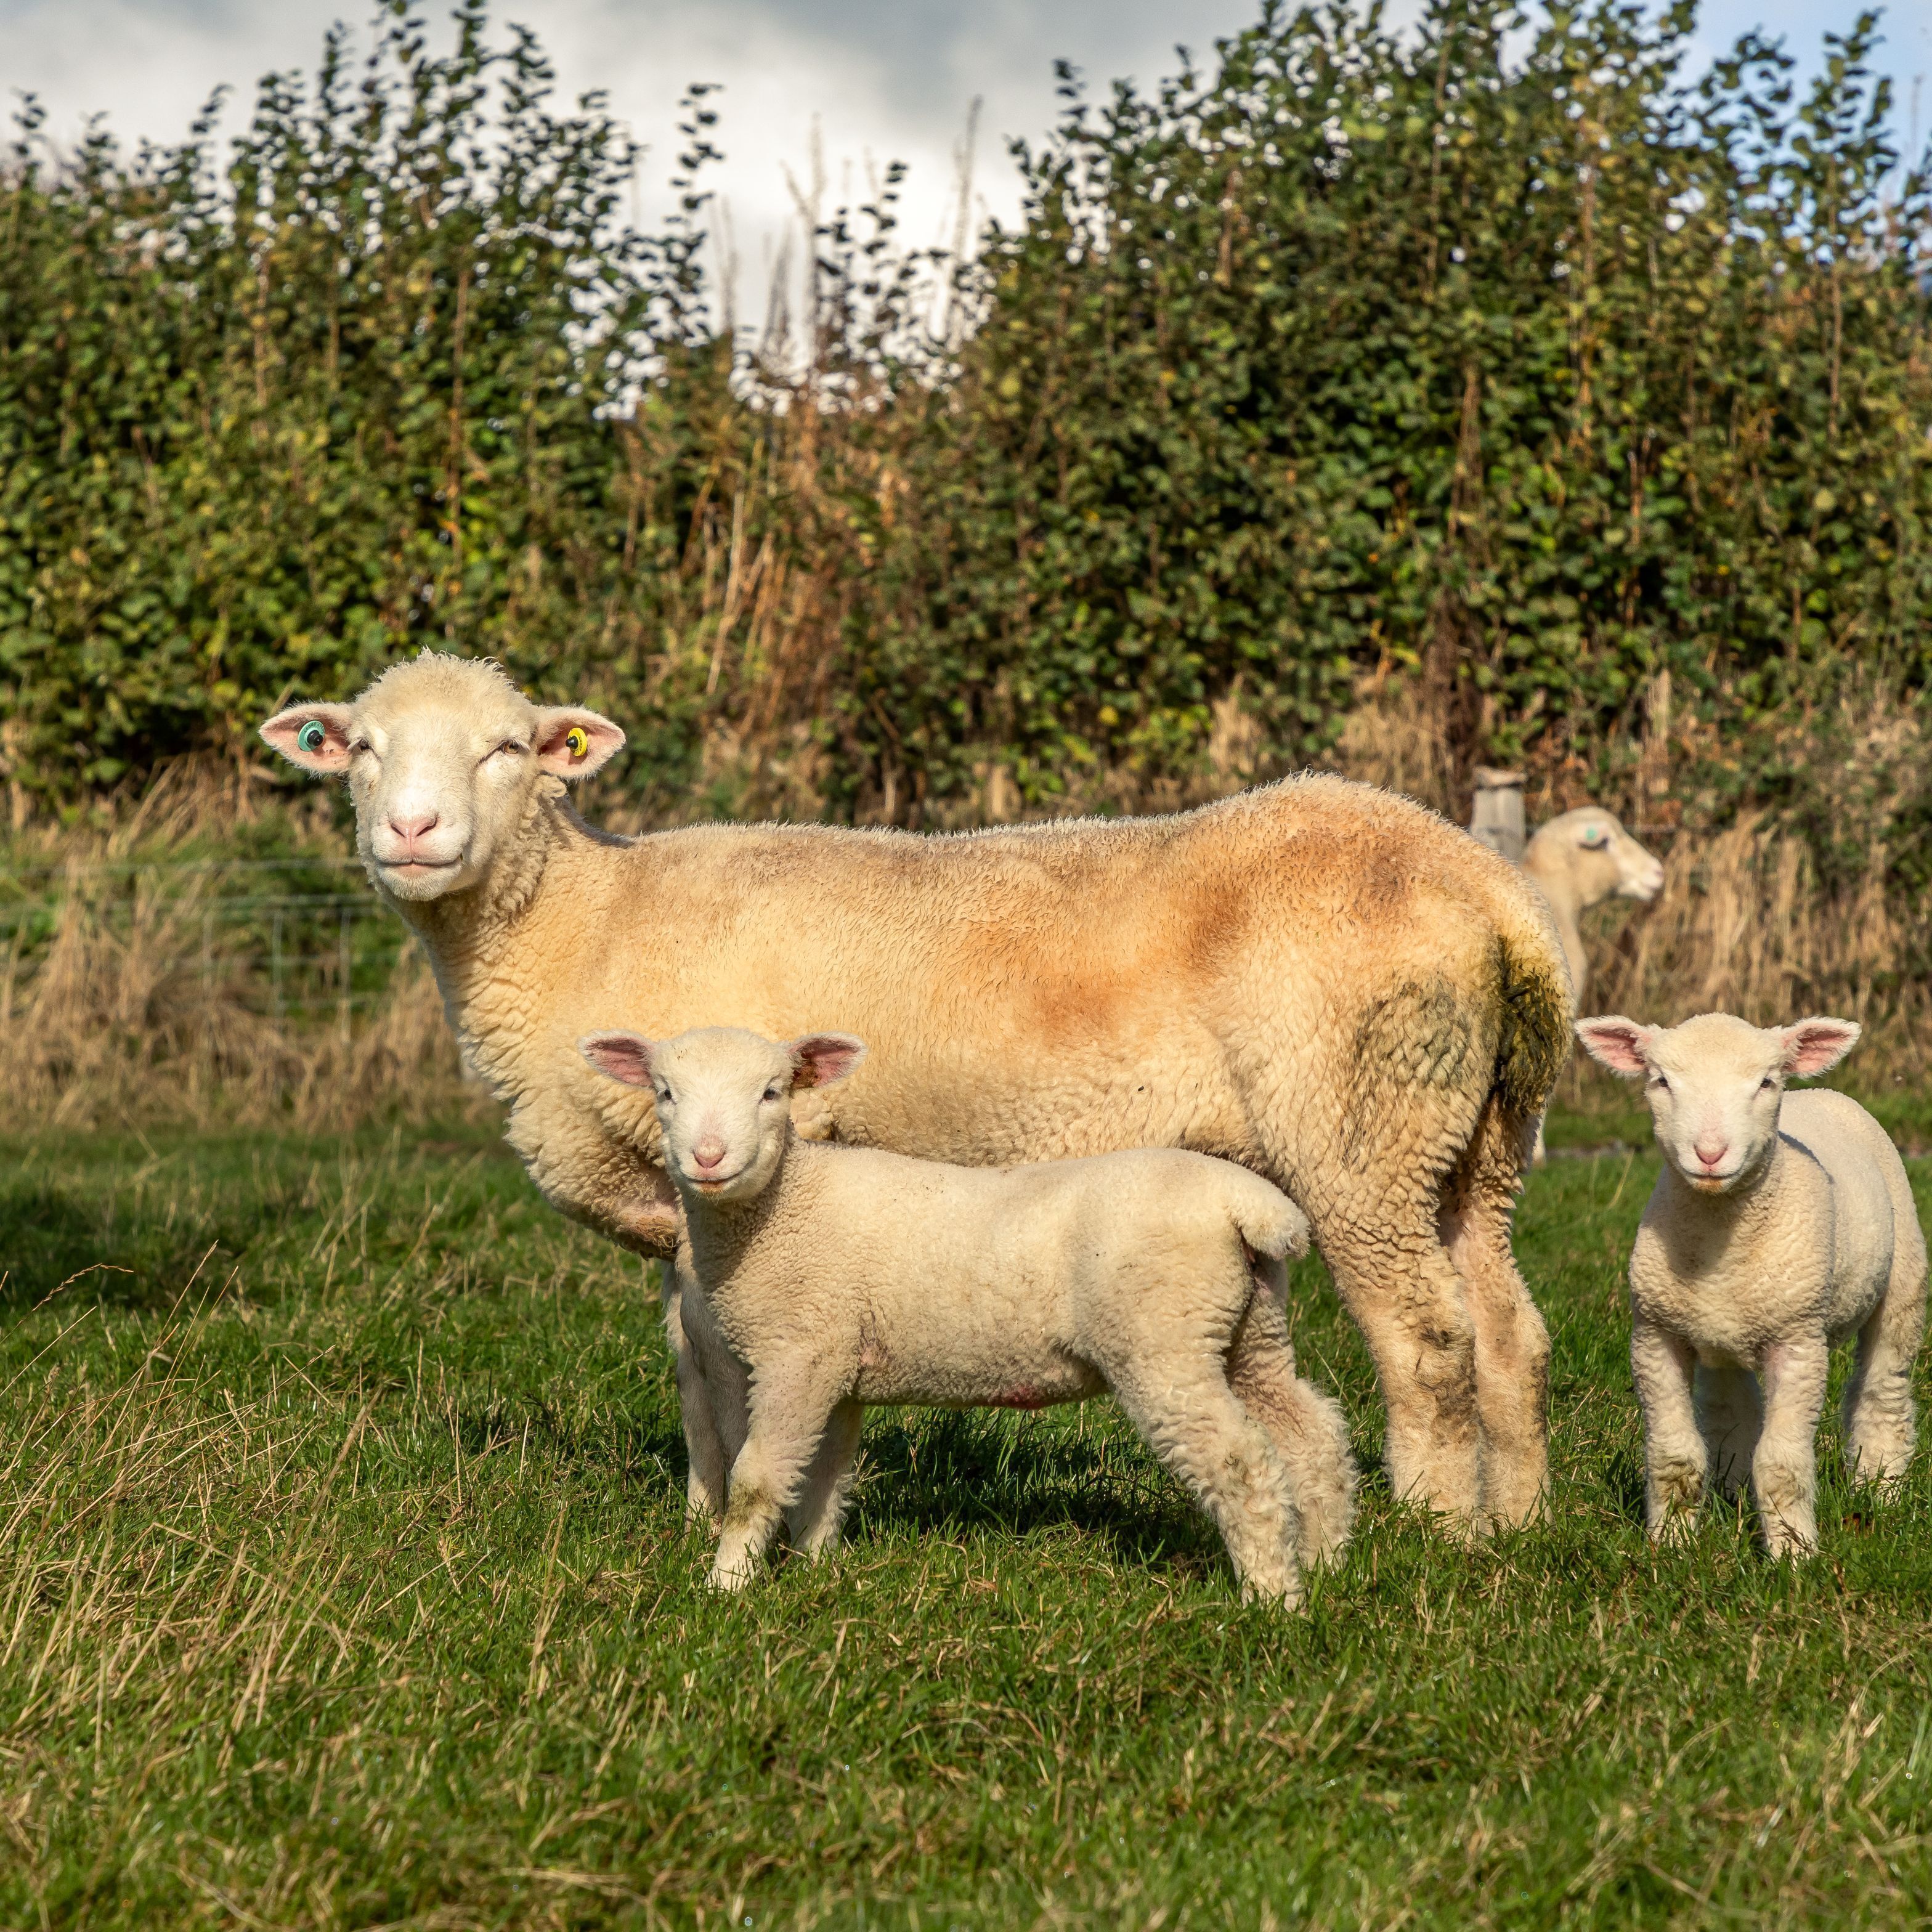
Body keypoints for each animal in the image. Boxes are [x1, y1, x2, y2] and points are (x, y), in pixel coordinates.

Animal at [260, 651, 1573, 1536]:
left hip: (1361, 1124)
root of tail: (1489, 890)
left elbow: (716, 1360)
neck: (583, 922)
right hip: (1476, 1138)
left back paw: (1431, 1528)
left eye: (507, 750)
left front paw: (726, 1513)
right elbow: (690, 1356)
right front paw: (713, 1506)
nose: (412, 829)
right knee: (1510, 1327)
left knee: (1427, 1336)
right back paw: (1515, 1525)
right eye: (361, 749)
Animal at [578, 1024, 1358, 1600]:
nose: (708, 1157)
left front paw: (727, 1587)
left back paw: (1272, 1596)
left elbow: (757, 1479)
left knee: (1239, 1458)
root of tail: (1251, 1207)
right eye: (665, 1092)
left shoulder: (799, 1353)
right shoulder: (838, 1362)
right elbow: (826, 1475)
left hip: (1164, 1338)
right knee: (1309, 1430)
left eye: (772, 1092)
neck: (783, 1206)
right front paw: (818, 1567)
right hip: (1249, 1326)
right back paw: (1327, 1562)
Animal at [1576, 1010, 1927, 1557]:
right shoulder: (1655, 1335)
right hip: (1718, 1333)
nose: (1710, 1153)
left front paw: (1794, 1555)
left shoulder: (1799, 1341)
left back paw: (1881, 1487)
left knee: (1883, 1390)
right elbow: (1674, 1456)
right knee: (1730, 1405)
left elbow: (1781, 1464)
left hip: (1903, 1279)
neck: (1722, 1238)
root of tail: (1821, 1091)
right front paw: (1670, 1545)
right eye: (1661, 1081)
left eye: (1765, 1083)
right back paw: (1732, 1491)